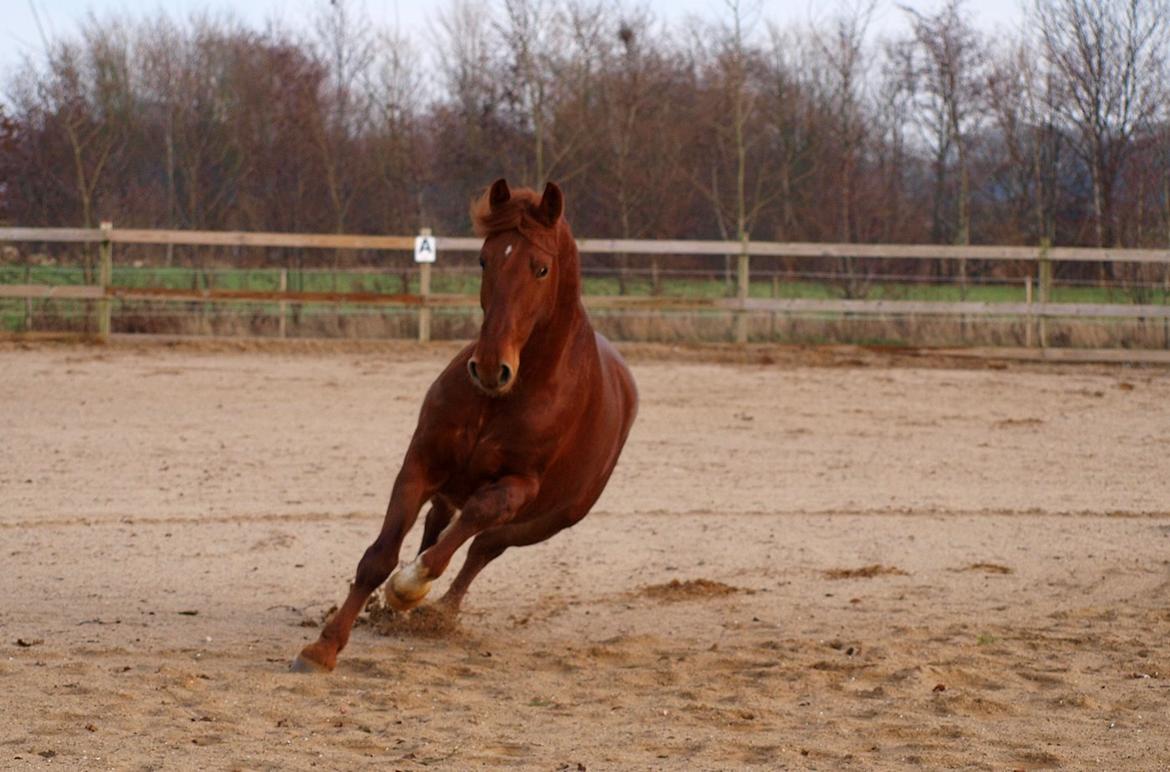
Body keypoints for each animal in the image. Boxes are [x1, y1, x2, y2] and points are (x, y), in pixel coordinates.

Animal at [292, 178, 641, 669]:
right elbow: (379, 557)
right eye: (484, 259)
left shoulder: (518, 487)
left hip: (547, 521)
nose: (492, 367)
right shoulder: (421, 462)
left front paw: (409, 587)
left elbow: (466, 530)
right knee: (440, 525)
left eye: (541, 269)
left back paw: (438, 609)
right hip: (451, 488)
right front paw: (323, 647)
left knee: (481, 548)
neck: (505, 397)